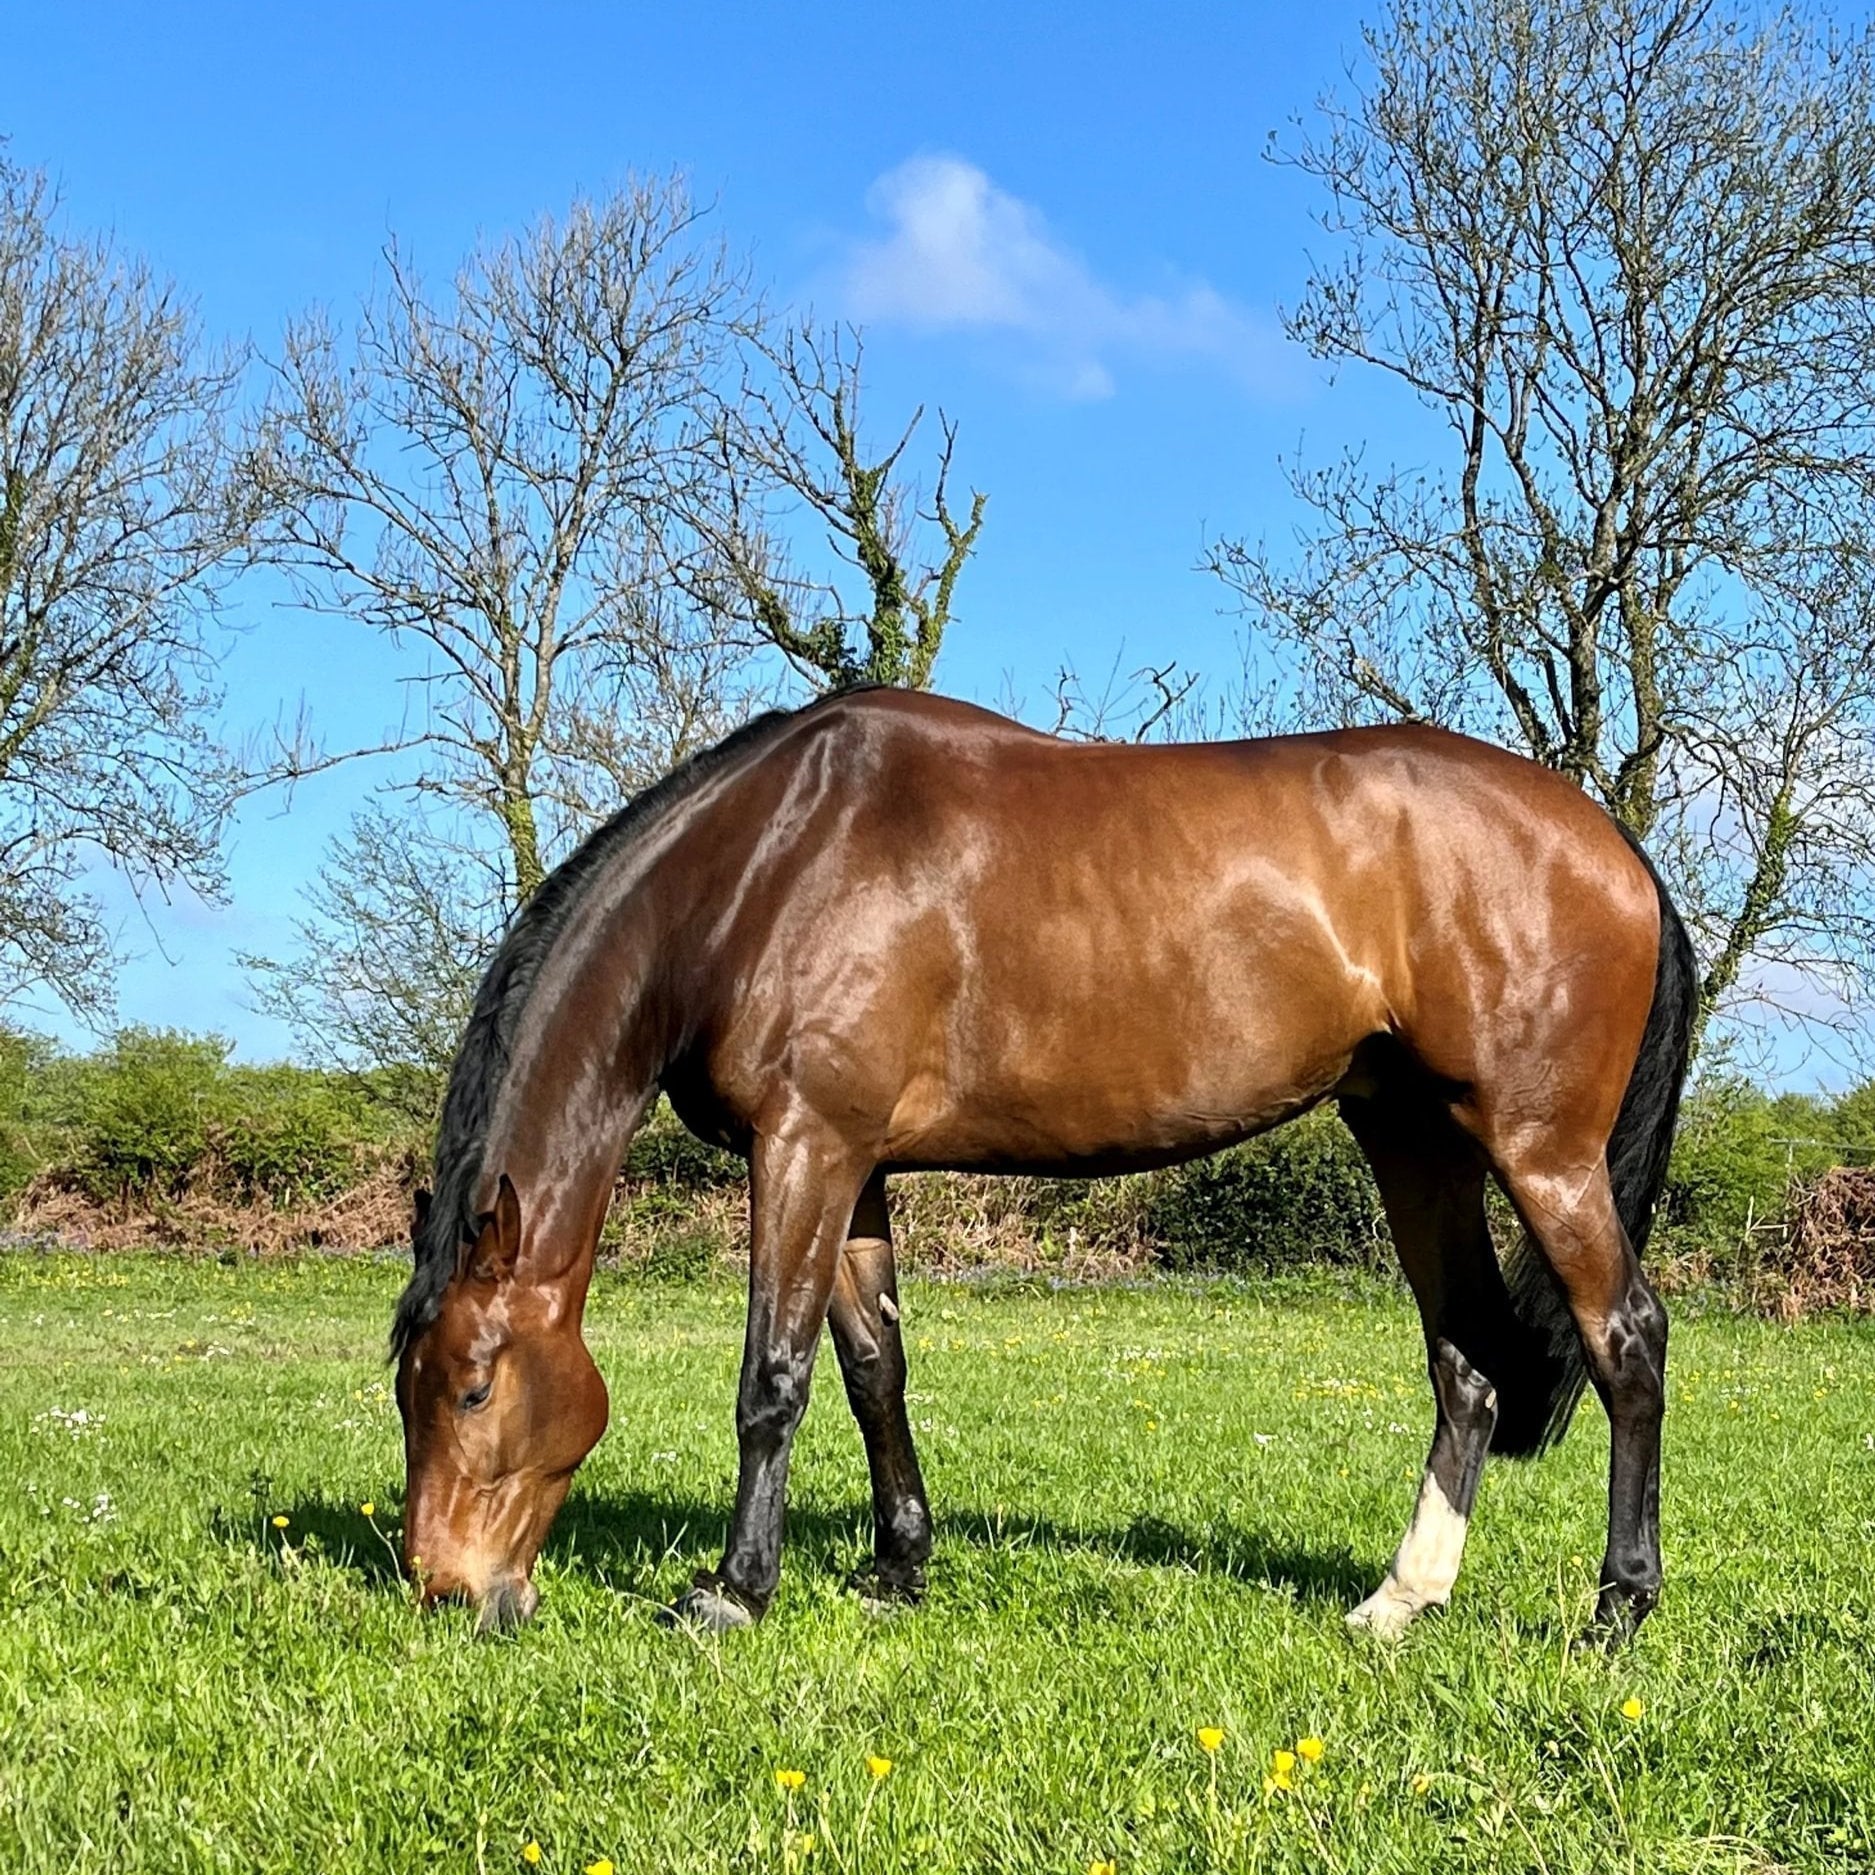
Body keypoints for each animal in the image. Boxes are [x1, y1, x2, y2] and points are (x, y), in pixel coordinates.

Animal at [391, 686, 1694, 1641]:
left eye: (472, 1388)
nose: (447, 1590)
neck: (768, 865)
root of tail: (1611, 843)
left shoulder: (804, 1145)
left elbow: (775, 1378)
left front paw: (731, 1592)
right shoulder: (855, 1167)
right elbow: (874, 1373)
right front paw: (897, 1569)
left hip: (1541, 1153)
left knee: (1625, 1339)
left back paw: (1619, 1610)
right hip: (1416, 1141)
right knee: (1466, 1361)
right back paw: (1399, 1601)